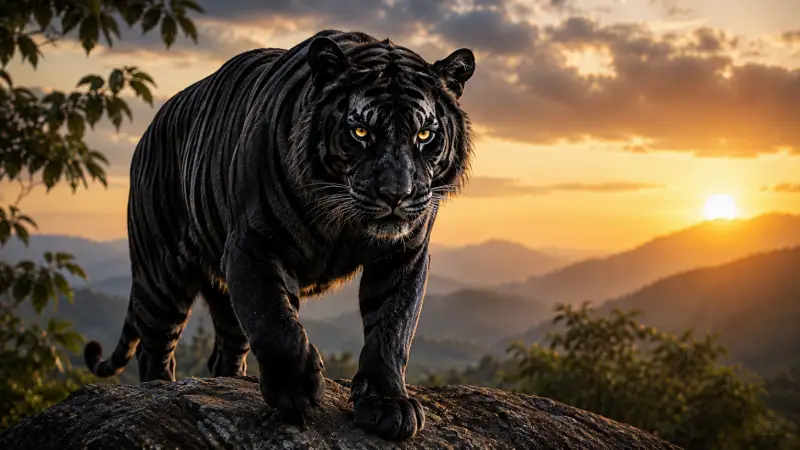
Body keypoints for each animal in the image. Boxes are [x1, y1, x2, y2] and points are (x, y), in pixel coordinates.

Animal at [83, 29, 475, 440]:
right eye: (361, 131)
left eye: (424, 134)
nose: (396, 195)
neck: (344, 223)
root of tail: (149, 129)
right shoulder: (255, 246)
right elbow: (275, 323)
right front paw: (296, 391)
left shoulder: (403, 254)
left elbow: (392, 327)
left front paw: (388, 405)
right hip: (161, 278)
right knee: (154, 349)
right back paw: (161, 389)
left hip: (220, 291)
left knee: (227, 347)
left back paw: (232, 383)